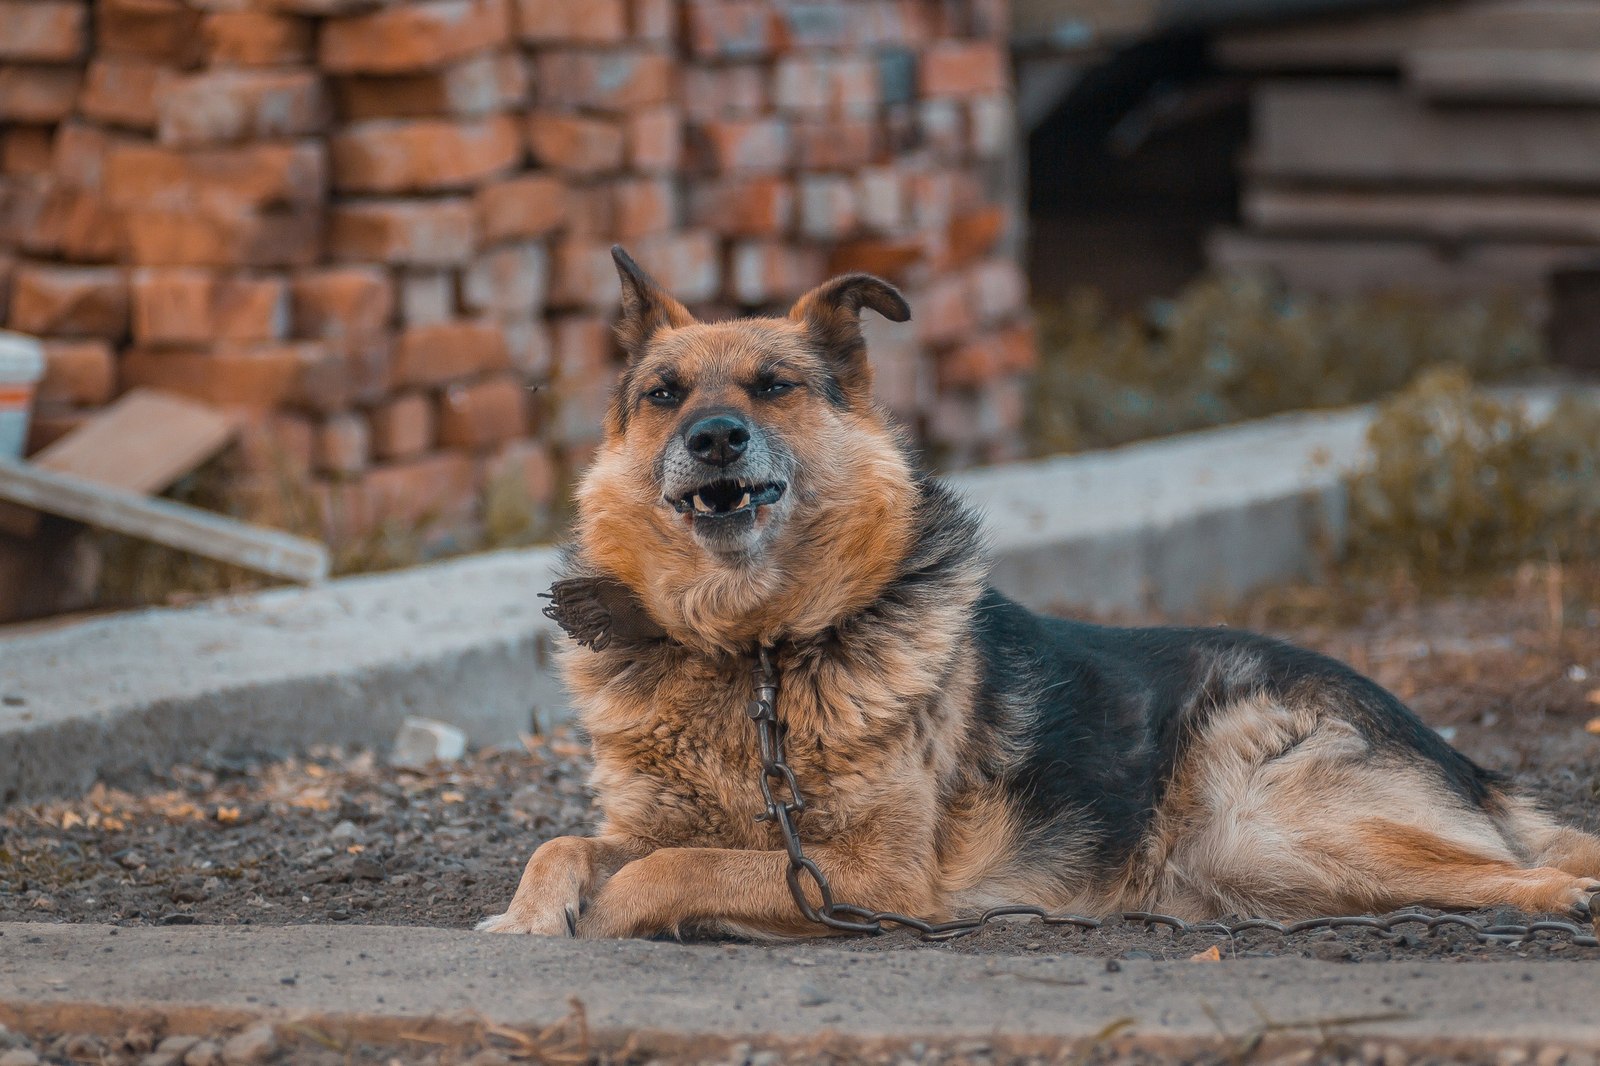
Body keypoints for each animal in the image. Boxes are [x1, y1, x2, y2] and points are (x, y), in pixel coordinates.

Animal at [473, 244, 1600, 934]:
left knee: (1521, 866)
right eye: (664, 396)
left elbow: (662, 871)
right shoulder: (658, 822)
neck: (753, 648)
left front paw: (613, 914)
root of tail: (1455, 756)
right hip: (1264, 865)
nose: (712, 437)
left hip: (1284, 817)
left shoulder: (871, 875)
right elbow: (567, 843)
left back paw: (1564, 897)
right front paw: (526, 917)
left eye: (774, 386)